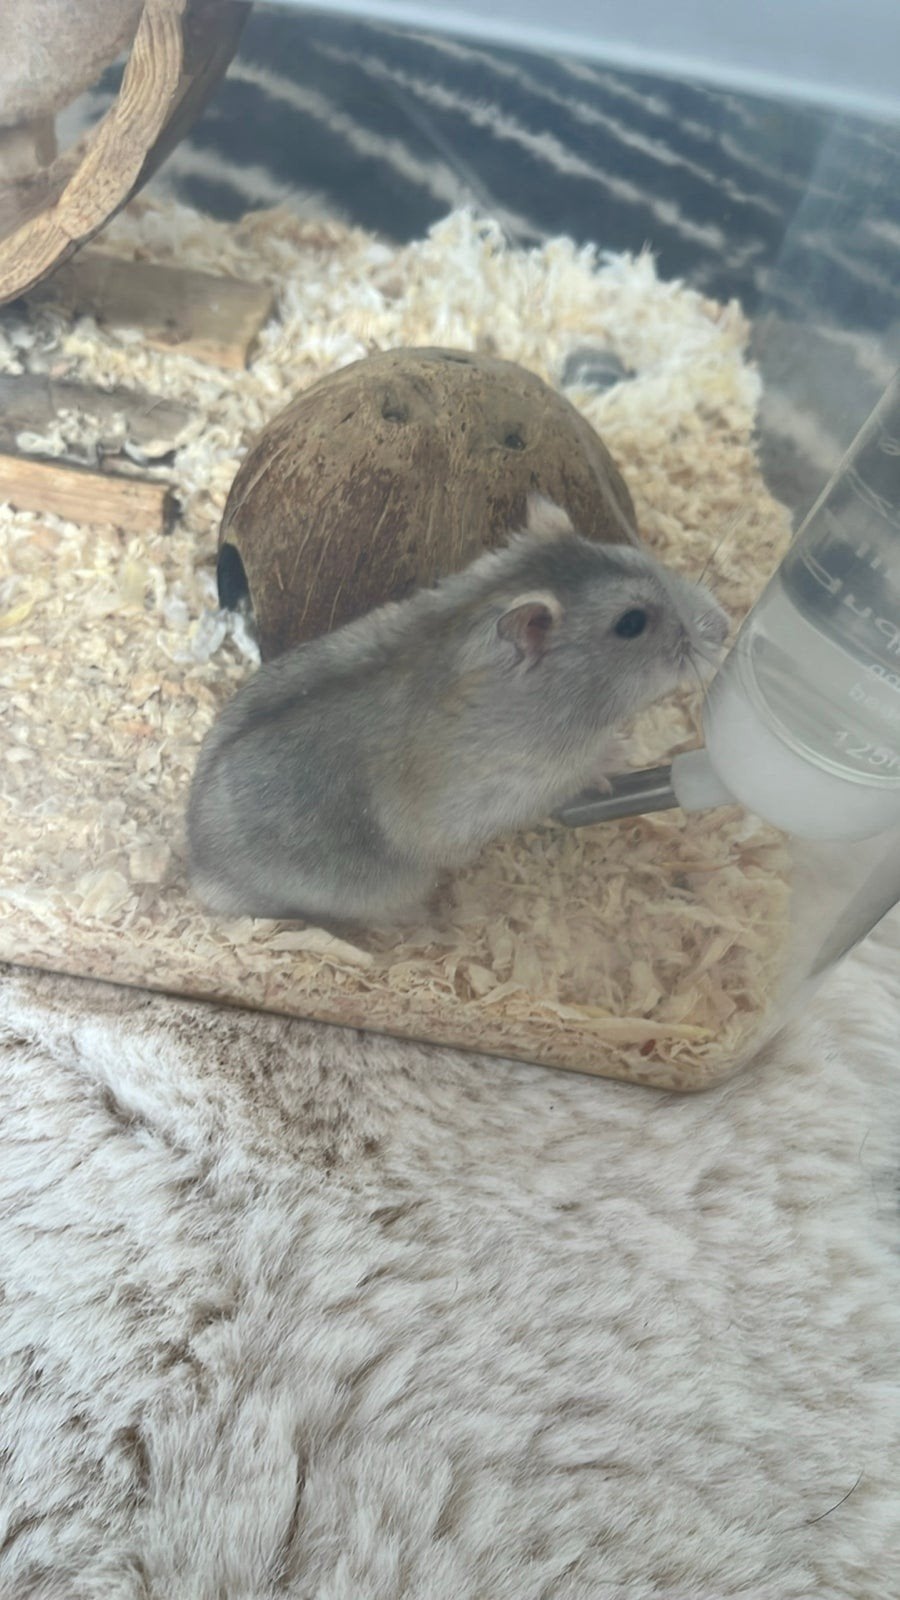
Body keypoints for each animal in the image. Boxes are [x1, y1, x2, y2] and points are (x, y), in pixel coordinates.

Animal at [187, 496, 728, 925]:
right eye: (631, 623)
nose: (723, 626)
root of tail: (197, 866)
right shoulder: (521, 786)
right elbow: (577, 778)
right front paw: (618, 753)